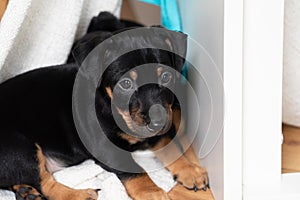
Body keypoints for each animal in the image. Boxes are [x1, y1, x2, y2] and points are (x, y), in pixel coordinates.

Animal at [0, 12, 207, 200]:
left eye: (166, 76)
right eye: (126, 84)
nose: (158, 122)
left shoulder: (161, 131)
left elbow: (172, 148)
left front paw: (191, 171)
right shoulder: (106, 147)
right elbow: (135, 169)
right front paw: (152, 192)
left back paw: (26, 191)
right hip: (20, 149)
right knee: (45, 183)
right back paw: (80, 195)